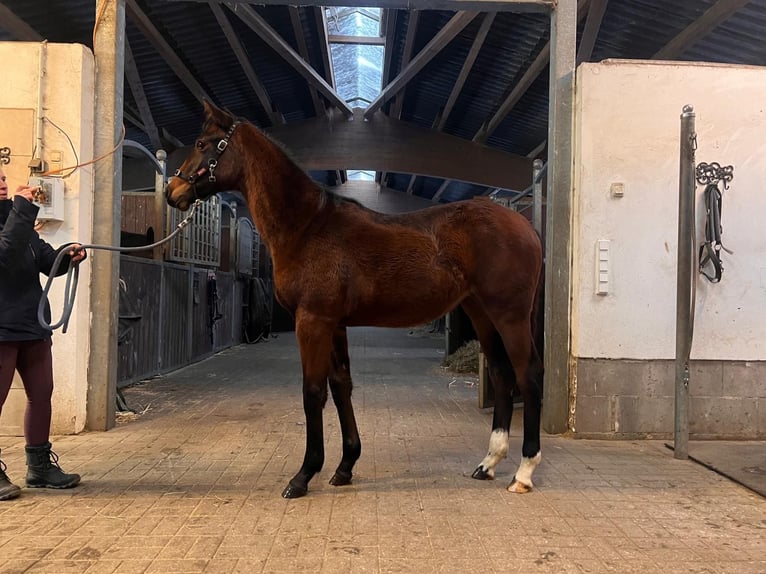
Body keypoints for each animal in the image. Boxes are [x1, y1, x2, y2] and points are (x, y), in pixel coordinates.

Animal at [166, 101, 544, 499]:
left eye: (203, 143)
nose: (172, 191)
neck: (308, 227)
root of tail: (525, 225)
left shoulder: (312, 321)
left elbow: (313, 392)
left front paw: (303, 475)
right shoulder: (334, 324)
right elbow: (341, 387)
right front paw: (345, 466)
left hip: (510, 315)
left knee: (528, 374)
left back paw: (523, 472)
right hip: (482, 313)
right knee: (502, 375)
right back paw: (488, 464)